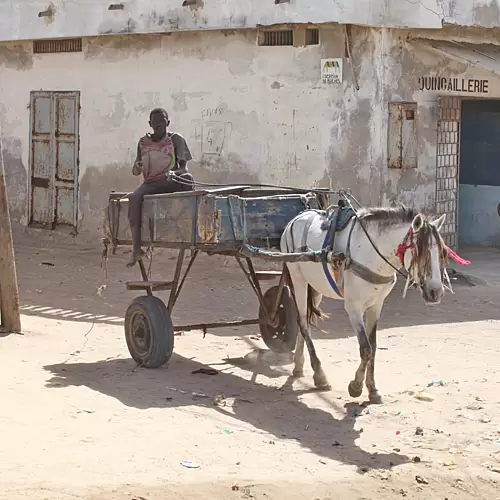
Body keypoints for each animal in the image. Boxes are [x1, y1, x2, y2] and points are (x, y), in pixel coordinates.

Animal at [282, 202, 450, 402]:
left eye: (442, 253)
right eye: (419, 252)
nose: (436, 292)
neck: (372, 255)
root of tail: (296, 218)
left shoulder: (376, 305)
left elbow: (374, 347)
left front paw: (372, 389)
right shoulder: (353, 308)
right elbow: (365, 349)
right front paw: (355, 386)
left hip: (314, 286)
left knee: (306, 320)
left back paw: (299, 366)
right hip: (297, 278)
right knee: (302, 321)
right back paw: (319, 374)